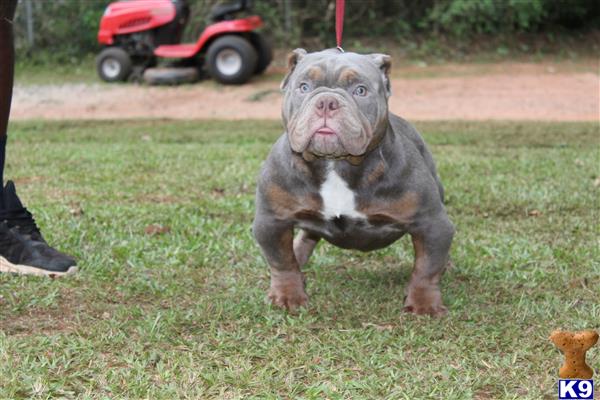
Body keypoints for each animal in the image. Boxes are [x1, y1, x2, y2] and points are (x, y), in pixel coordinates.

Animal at [253, 48, 454, 316]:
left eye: (360, 90)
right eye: (304, 87)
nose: (326, 102)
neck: (335, 164)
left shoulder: (431, 222)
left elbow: (426, 268)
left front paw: (424, 304)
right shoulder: (272, 220)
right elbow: (281, 261)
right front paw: (287, 296)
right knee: (306, 235)